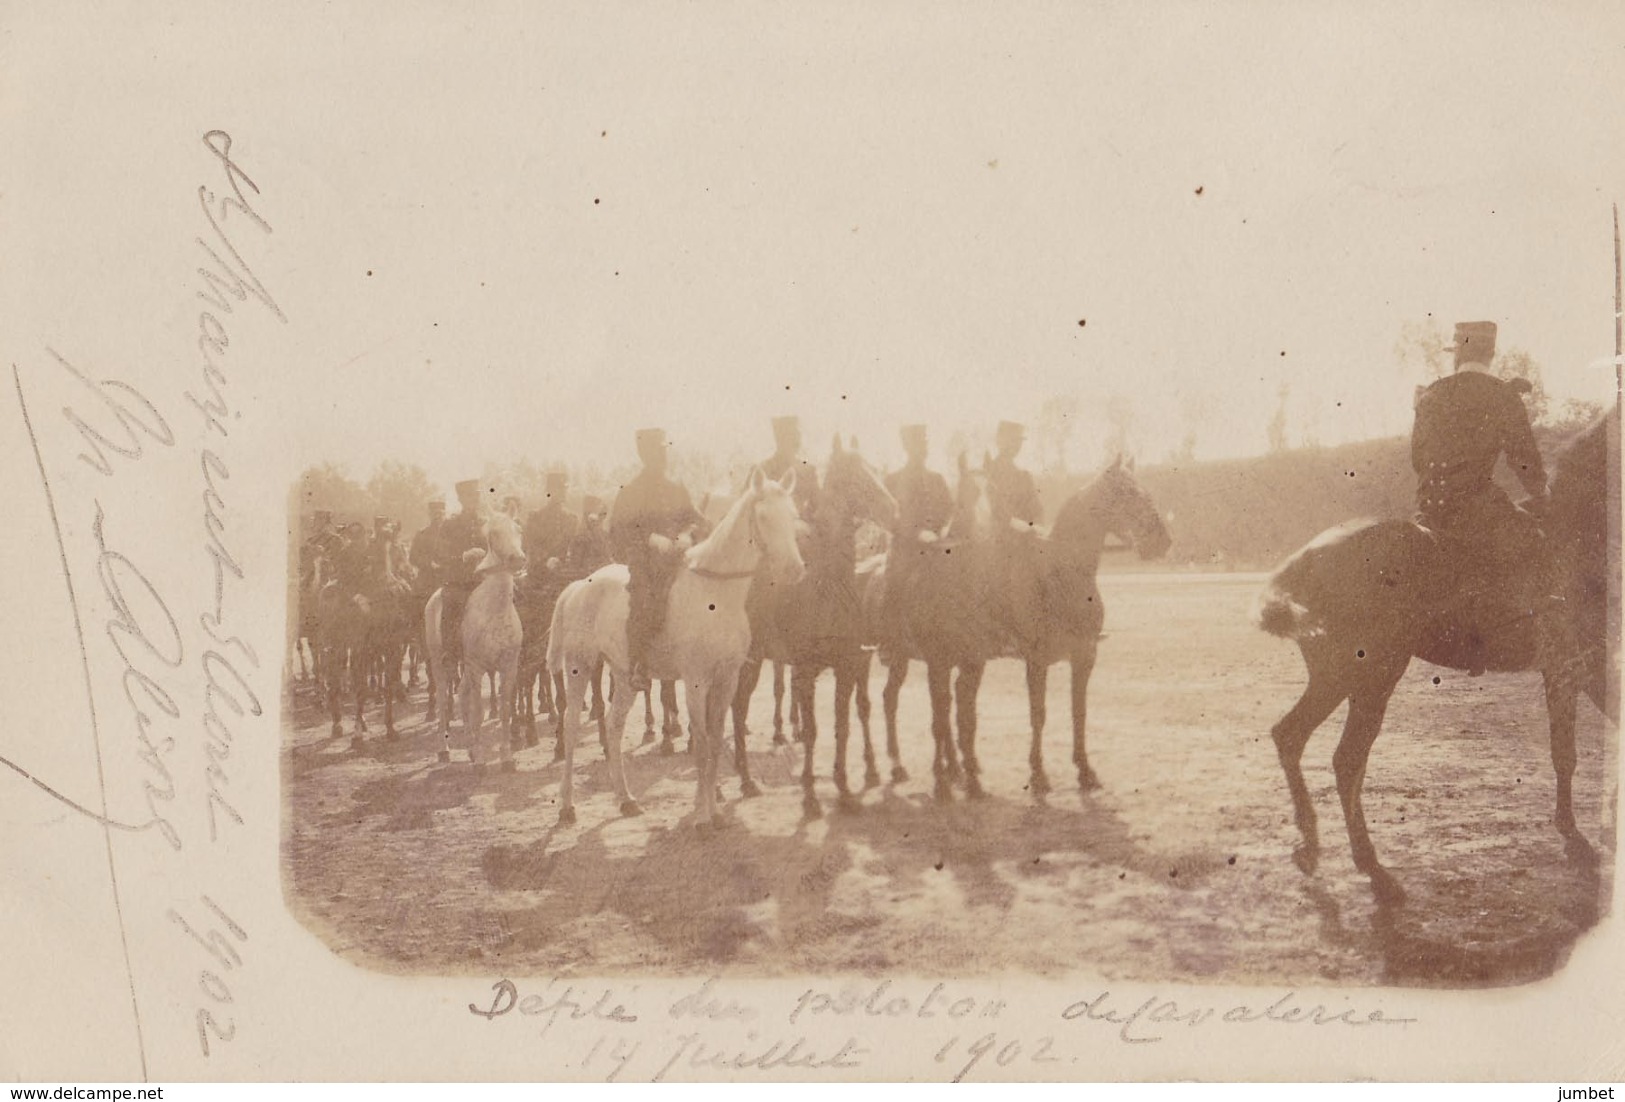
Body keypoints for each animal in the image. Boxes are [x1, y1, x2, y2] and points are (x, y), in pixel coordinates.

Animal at [425, 516, 526, 767]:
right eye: (495, 533)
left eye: (519, 530)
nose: (518, 559)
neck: (495, 610)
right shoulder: (478, 667)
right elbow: (479, 710)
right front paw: (480, 758)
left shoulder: (508, 667)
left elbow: (505, 709)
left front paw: (506, 756)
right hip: (441, 663)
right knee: (444, 701)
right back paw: (444, 749)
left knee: (462, 695)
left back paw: (470, 745)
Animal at [546, 471, 806, 832]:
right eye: (764, 517)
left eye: (792, 516)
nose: (795, 569)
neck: (716, 594)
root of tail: (577, 586)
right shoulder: (696, 681)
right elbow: (701, 745)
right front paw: (703, 817)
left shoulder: (726, 680)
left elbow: (715, 741)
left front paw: (715, 810)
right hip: (579, 667)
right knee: (571, 726)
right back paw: (567, 806)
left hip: (624, 676)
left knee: (613, 727)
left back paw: (626, 799)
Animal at [1254, 409, 1612, 903]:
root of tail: (1307, 559)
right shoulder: (1567, 667)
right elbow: (1566, 752)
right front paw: (1572, 831)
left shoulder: (1590, 667)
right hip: (1372, 677)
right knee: (1345, 758)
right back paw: (1368, 861)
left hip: (1339, 680)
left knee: (1292, 737)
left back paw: (1311, 845)